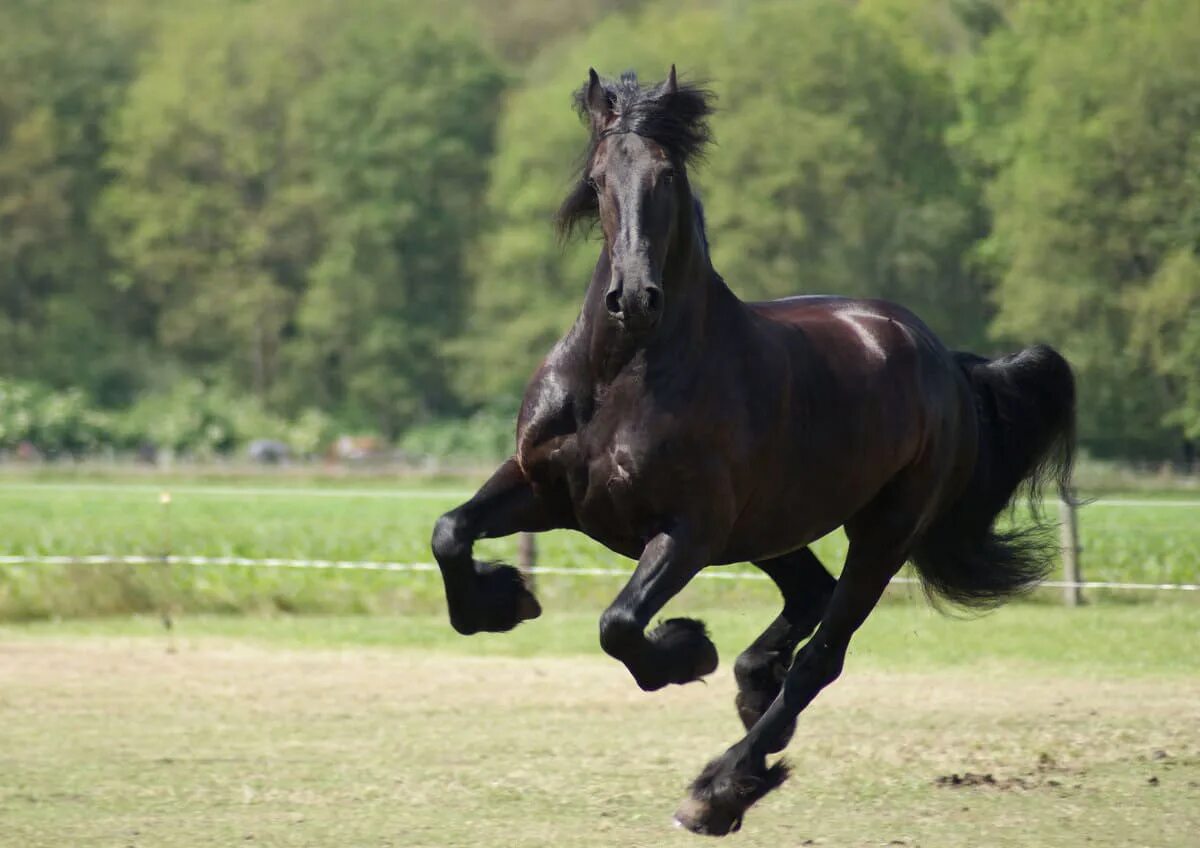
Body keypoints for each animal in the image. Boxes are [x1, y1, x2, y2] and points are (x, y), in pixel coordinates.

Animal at [429, 69, 1070, 839]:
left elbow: (619, 625)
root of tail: (946, 359)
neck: (623, 374)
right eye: (599, 178)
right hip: (772, 527)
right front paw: (504, 600)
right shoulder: (547, 489)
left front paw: (684, 649)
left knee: (822, 655)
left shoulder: (689, 532)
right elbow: (450, 532)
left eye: (667, 176)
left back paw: (722, 786)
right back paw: (752, 686)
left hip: (882, 533)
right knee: (808, 597)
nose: (634, 299)